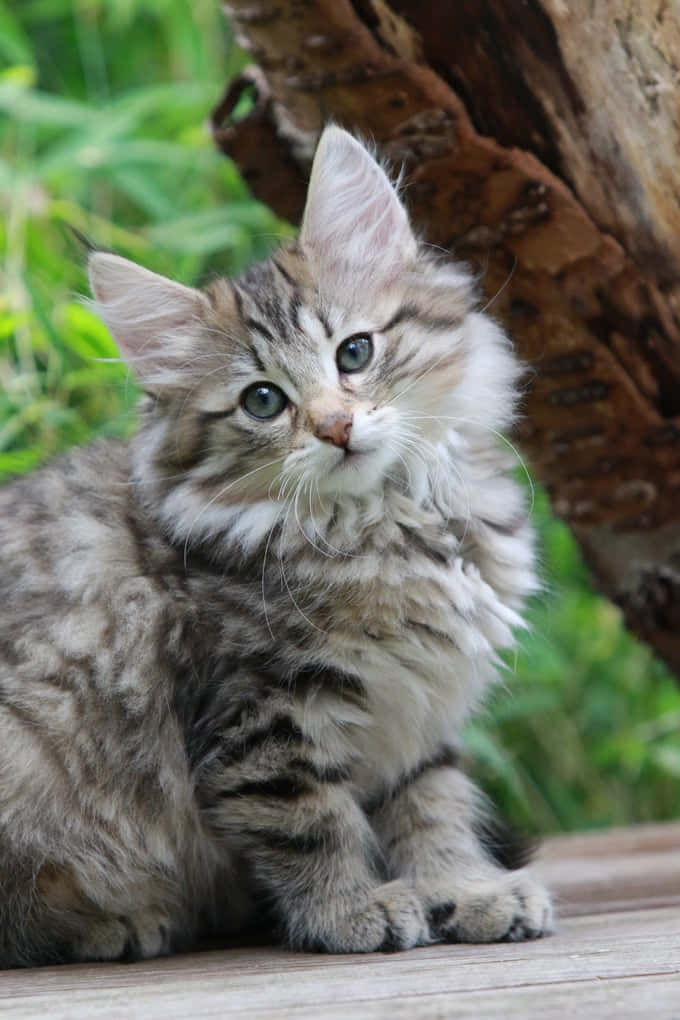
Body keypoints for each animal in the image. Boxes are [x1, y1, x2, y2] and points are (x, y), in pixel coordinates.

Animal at [0, 127, 554, 962]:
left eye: (355, 353)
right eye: (263, 401)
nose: (335, 425)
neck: (389, 522)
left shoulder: (417, 716)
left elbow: (435, 807)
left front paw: (469, 891)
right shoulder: (263, 712)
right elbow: (310, 822)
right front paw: (351, 912)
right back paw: (114, 924)